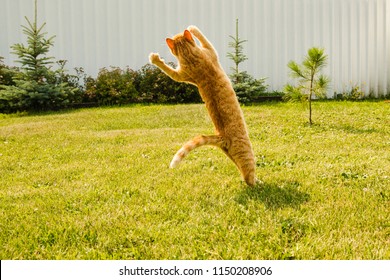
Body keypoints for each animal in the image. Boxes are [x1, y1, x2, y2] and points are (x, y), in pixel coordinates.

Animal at [149, 25, 256, 185]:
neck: (189, 55)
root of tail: (221, 137)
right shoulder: (210, 50)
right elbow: (202, 36)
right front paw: (192, 28)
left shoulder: (180, 75)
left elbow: (169, 71)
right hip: (247, 154)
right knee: (249, 177)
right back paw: (258, 184)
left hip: (233, 158)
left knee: (243, 174)